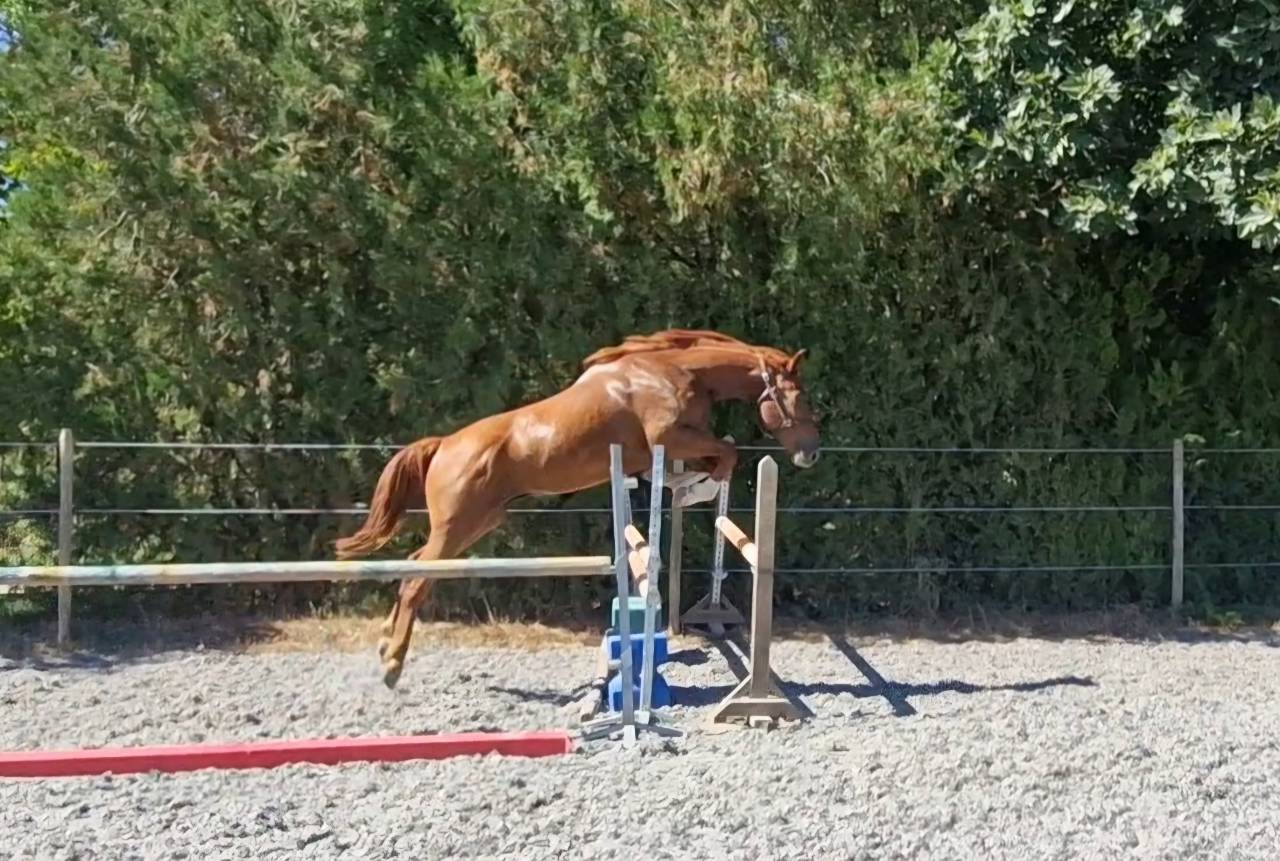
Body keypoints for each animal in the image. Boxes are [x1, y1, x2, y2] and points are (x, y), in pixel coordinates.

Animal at [334, 328, 822, 687]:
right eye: (803, 399)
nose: (812, 454)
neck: (674, 371)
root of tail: (445, 445)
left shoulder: (665, 448)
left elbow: (714, 457)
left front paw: (689, 487)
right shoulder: (668, 436)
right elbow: (727, 452)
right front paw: (697, 488)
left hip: (477, 523)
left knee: (414, 566)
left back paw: (385, 643)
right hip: (458, 526)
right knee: (417, 580)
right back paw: (392, 665)